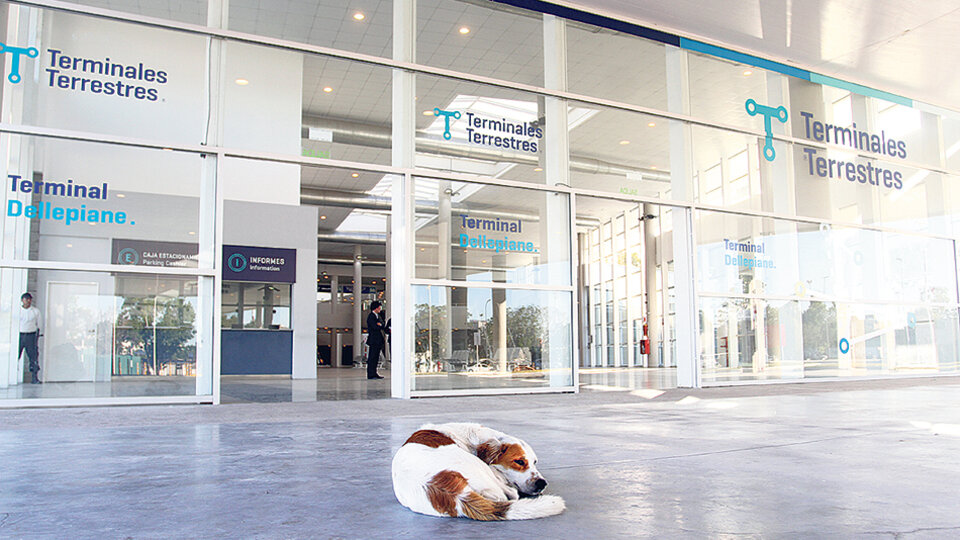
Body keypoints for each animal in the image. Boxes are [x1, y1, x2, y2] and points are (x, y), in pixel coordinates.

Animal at [394, 422, 568, 520]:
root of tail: (456, 494)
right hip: (480, 468)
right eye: (519, 461)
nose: (542, 483)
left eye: (535, 462)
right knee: (511, 494)